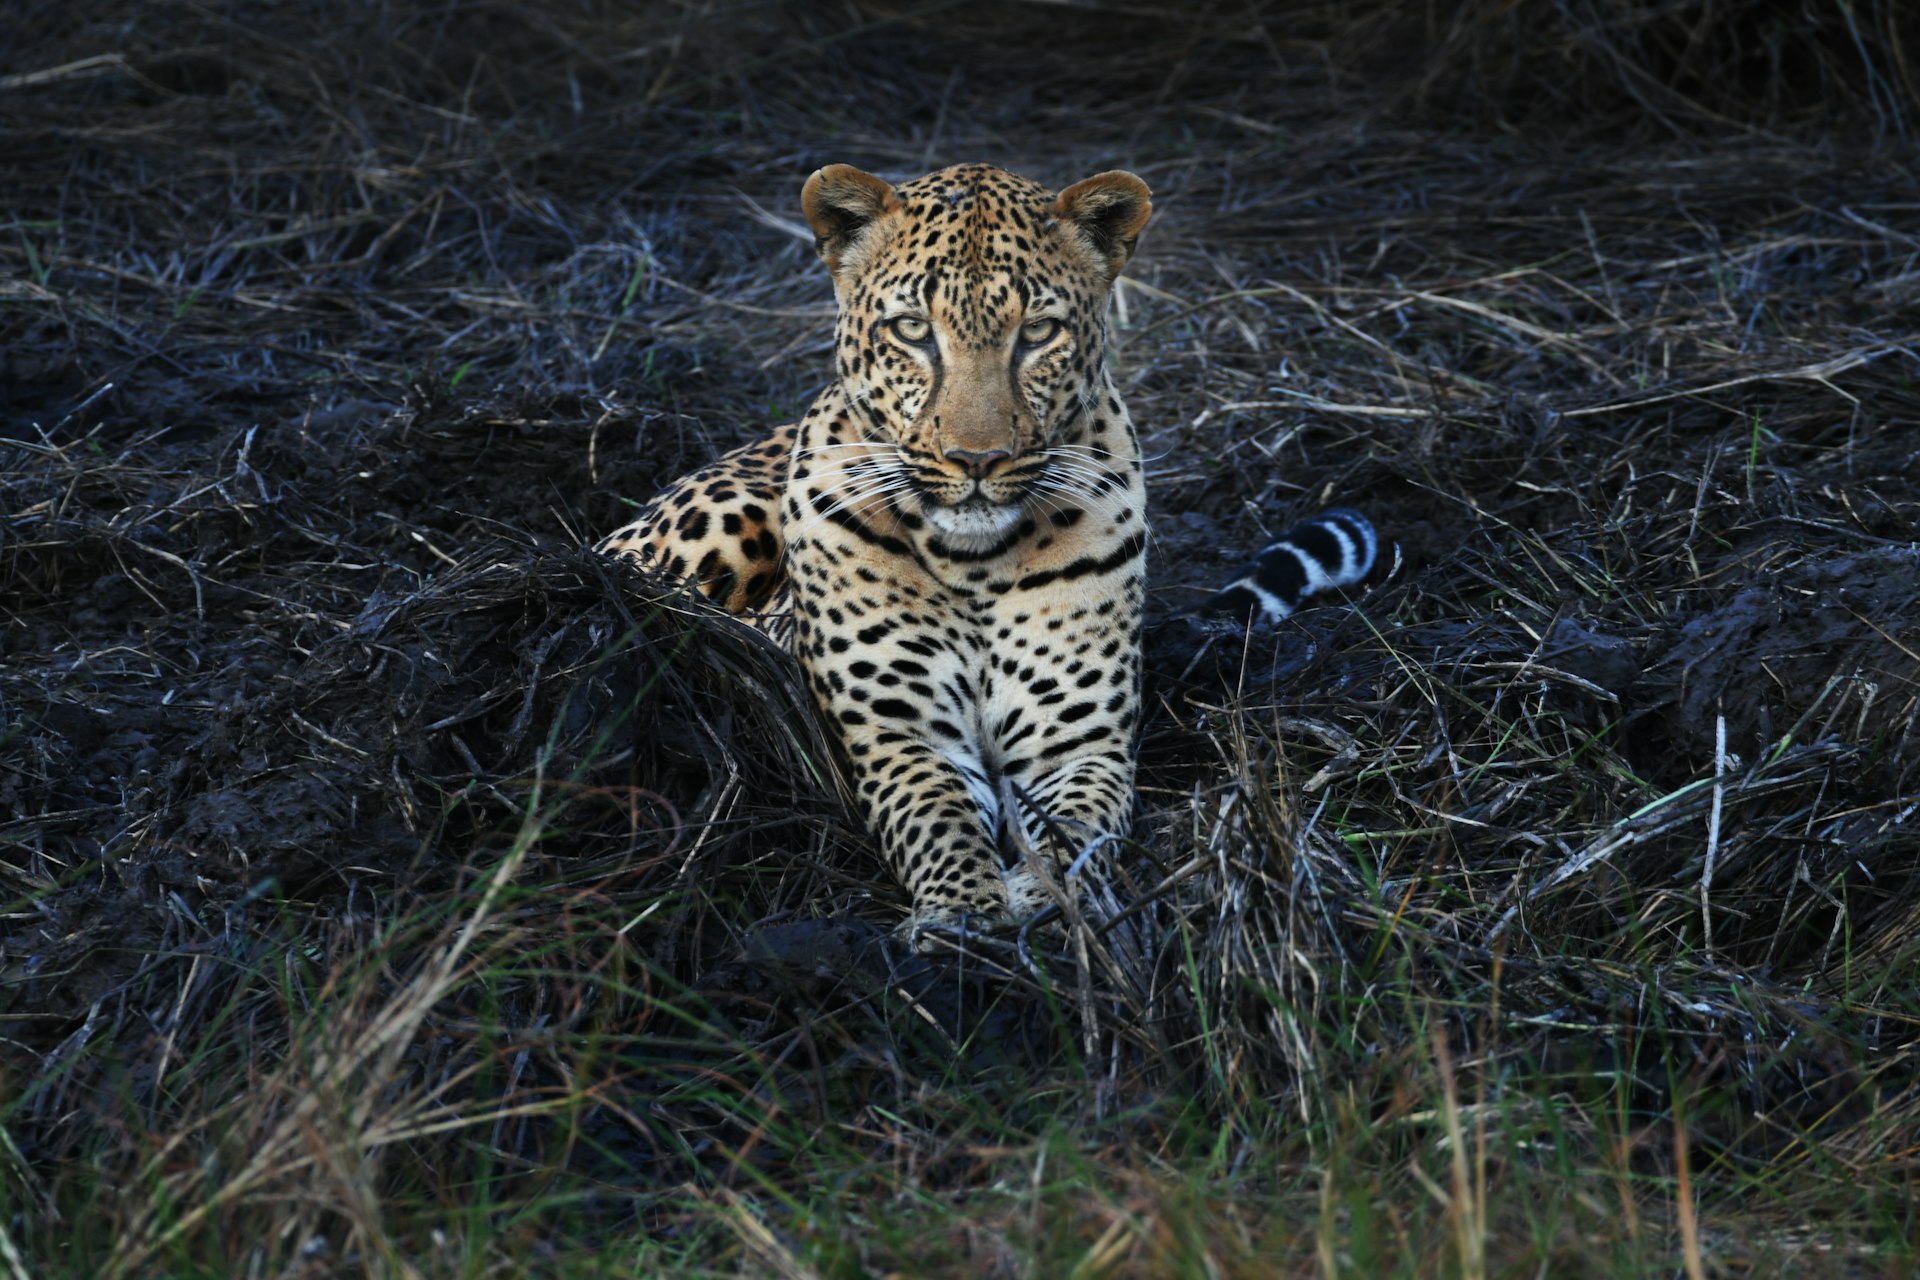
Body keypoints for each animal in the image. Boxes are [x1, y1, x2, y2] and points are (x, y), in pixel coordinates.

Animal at [598, 161, 1375, 936]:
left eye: (1039, 332)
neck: (969, 562)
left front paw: (1048, 903)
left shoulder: (1077, 743)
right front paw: (961, 917)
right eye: (913, 330)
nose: (976, 460)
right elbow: (935, 817)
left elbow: (1075, 829)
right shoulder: (900, 735)